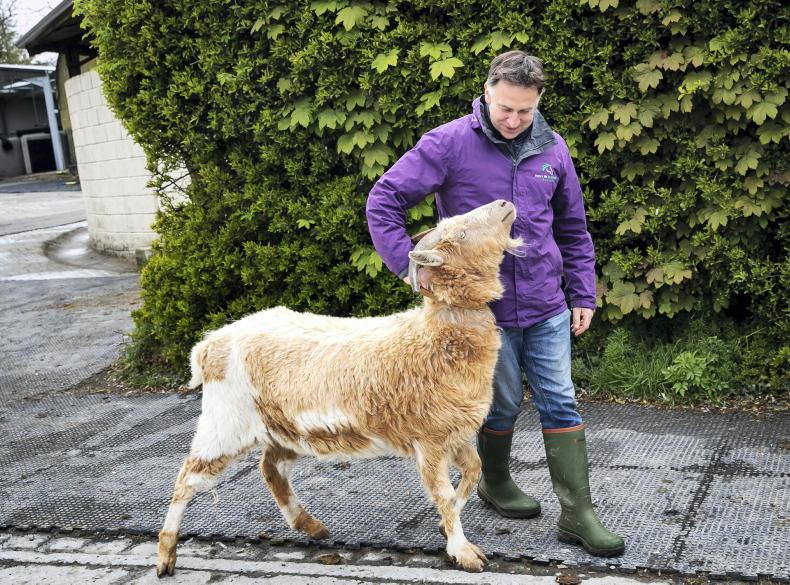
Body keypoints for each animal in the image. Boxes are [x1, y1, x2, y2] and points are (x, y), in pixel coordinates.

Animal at [156, 200, 522, 576]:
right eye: (460, 232)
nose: (504, 204)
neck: (433, 336)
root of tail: (209, 344)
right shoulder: (430, 439)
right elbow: (444, 495)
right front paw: (463, 551)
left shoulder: (455, 432)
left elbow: (474, 471)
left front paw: (444, 529)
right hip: (226, 423)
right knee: (187, 478)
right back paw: (166, 554)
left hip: (283, 427)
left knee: (271, 468)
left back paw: (309, 525)